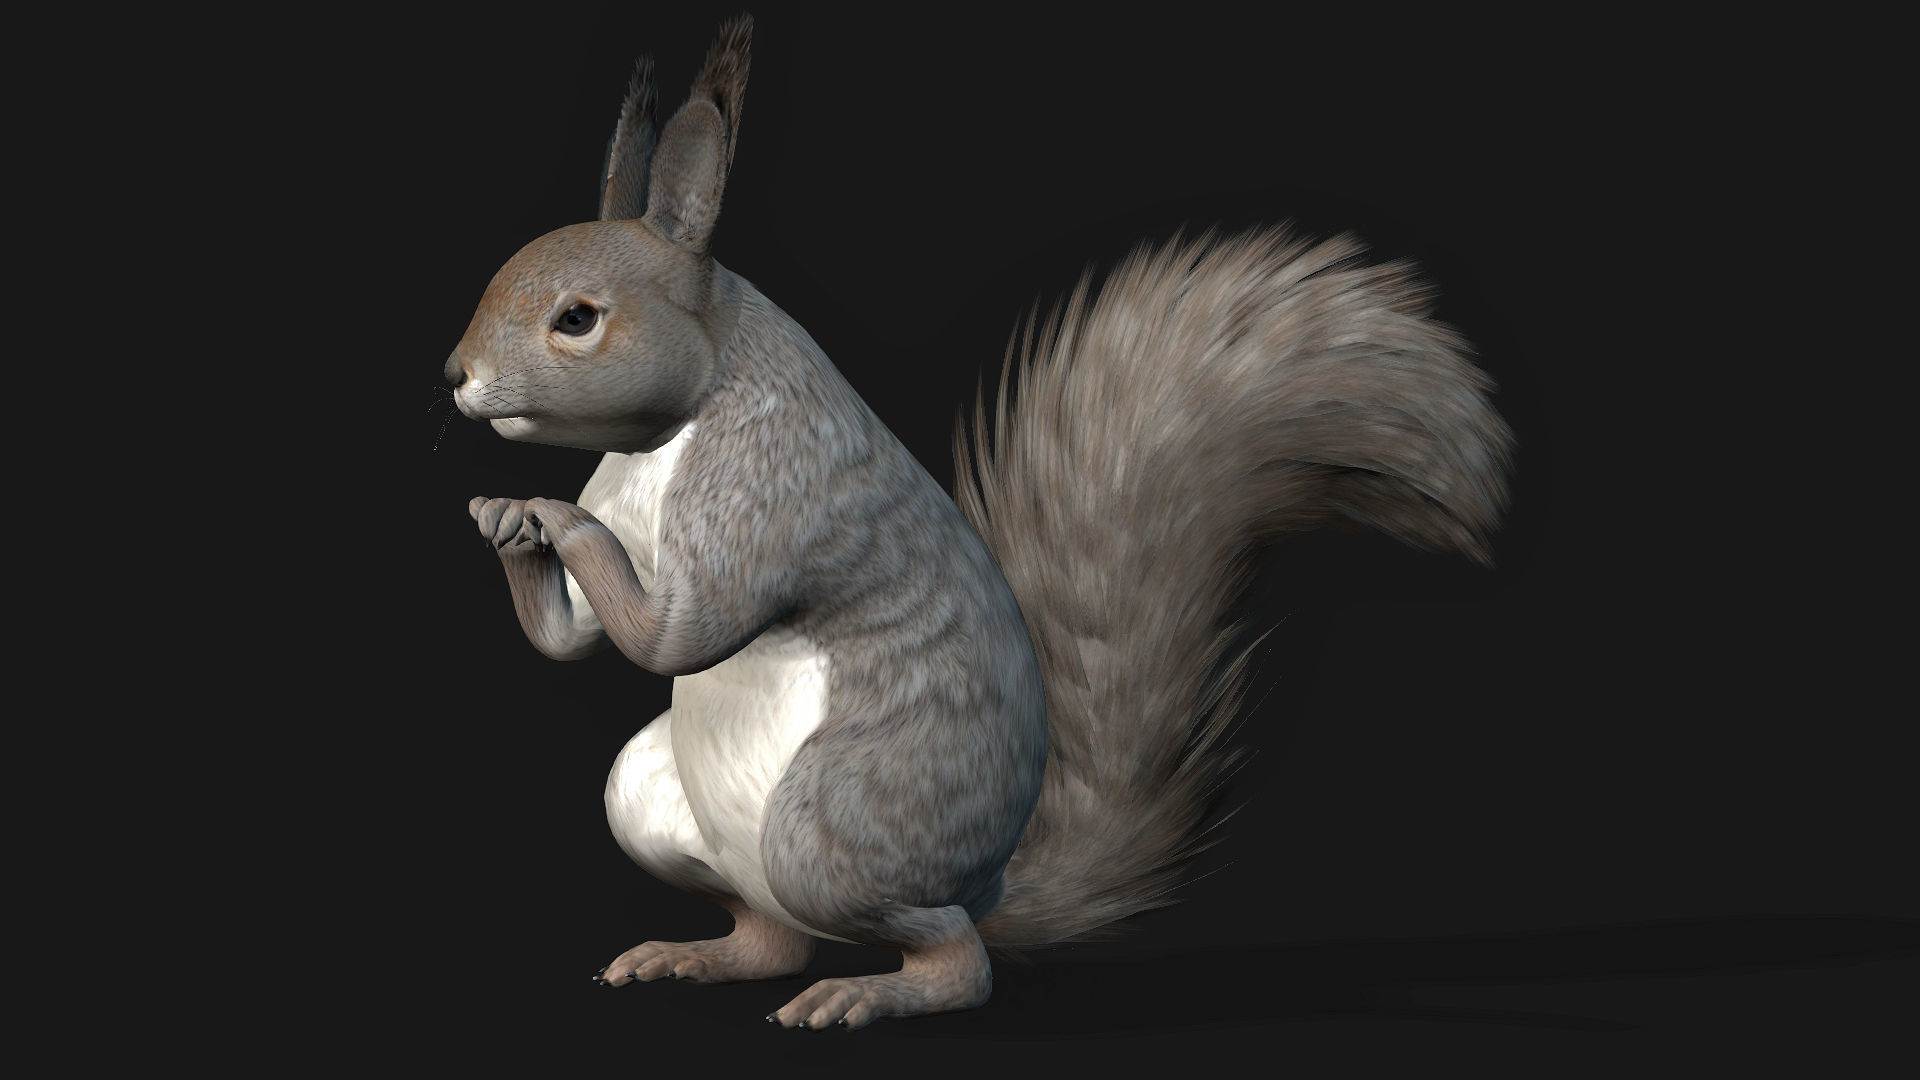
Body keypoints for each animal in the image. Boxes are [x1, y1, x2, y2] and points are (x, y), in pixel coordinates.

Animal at [446, 15, 1511, 1030]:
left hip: (834, 823)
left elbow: (677, 637)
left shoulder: (766, 483)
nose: (455, 376)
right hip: (650, 797)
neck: (669, 430)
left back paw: (868, 993)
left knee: (952, 957)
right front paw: (501, 520)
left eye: (579, 318)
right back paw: (692, 955)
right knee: (771, 942)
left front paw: (543, 515)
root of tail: (988, 881)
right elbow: (577, 642)